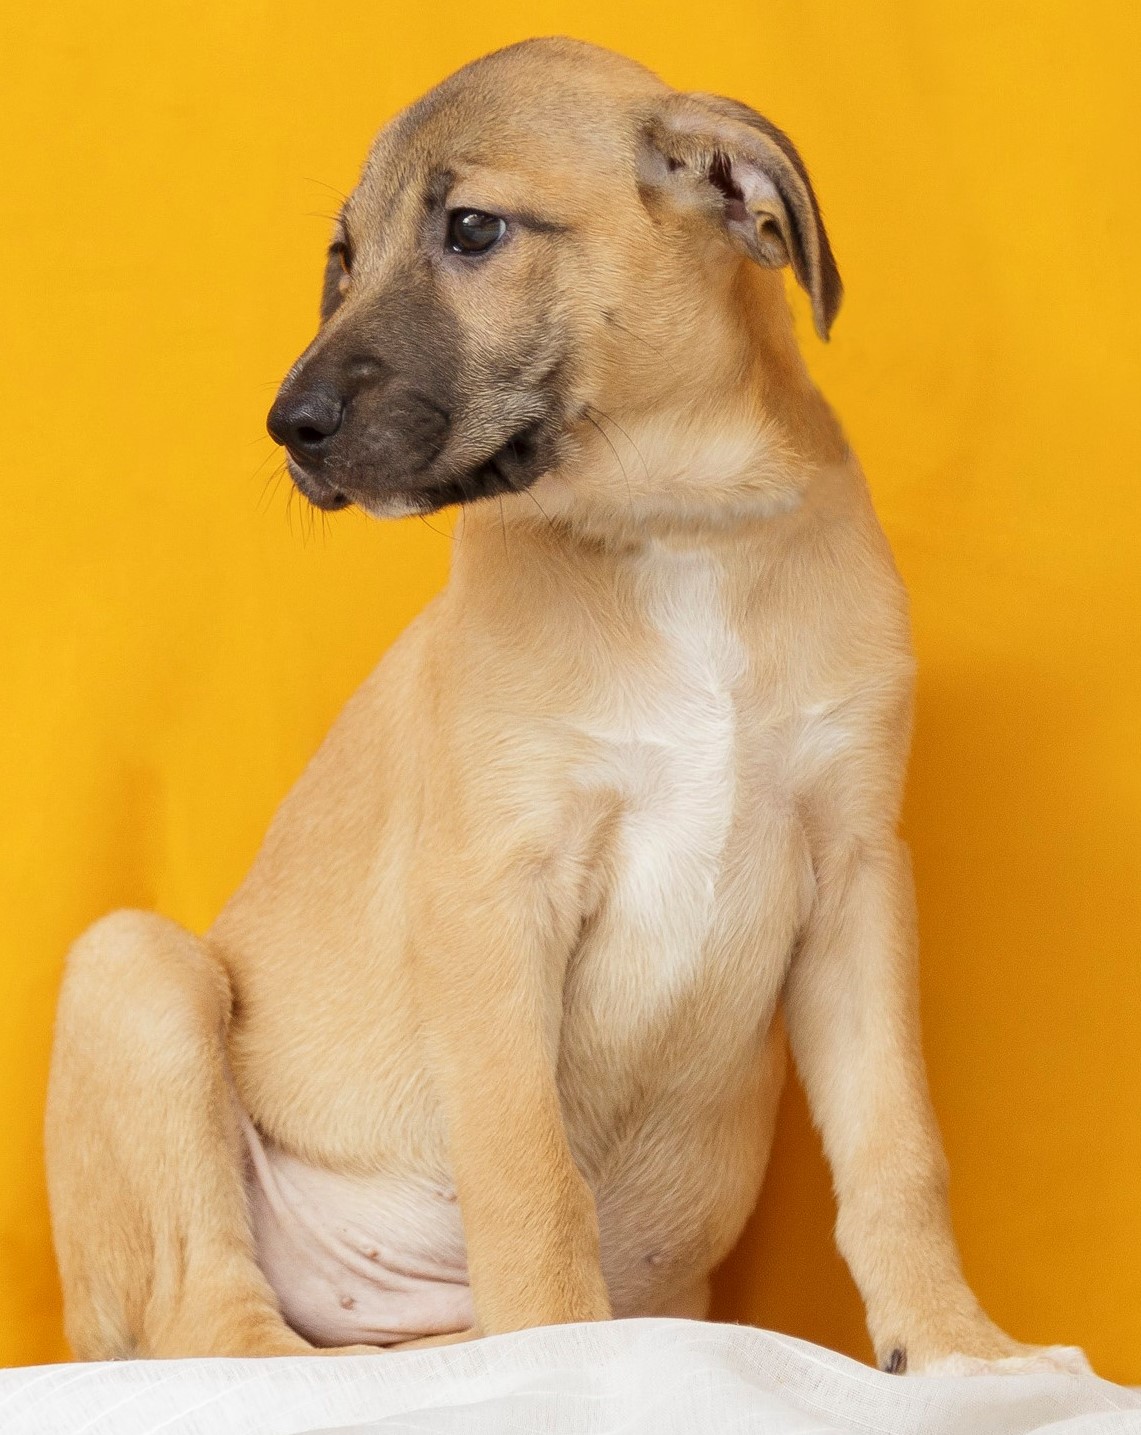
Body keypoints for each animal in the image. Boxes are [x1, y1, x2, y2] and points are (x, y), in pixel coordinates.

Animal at [44, 39, 1090, 1371]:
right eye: (343, 256)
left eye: (471, 230)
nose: (290, 426)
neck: (676, 522)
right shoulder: (496, 896)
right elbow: (530, 1177)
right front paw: (563, 1359)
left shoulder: (857, 875)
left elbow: (897, 1147)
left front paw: (956, 1344)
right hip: (133, 968)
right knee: (205, 1317)